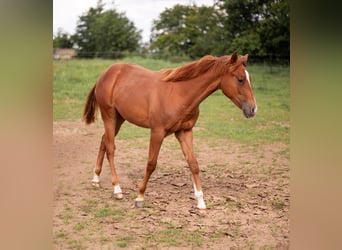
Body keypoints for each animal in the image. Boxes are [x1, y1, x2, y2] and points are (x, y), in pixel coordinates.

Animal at [81, 52, 255, 209]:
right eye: (240, 79)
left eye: (249, 79)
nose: (253, 109)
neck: (180, 93)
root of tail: (106, 73)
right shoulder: (157, 132)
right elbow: (151, 164)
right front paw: (140, 197)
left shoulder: (185, 131)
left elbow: (193, 164)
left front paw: (200, 202)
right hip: (109, 116)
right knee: (110, 148)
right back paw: (117, 189)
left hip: (119, 118)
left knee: (104, 140)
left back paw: (95, 179)